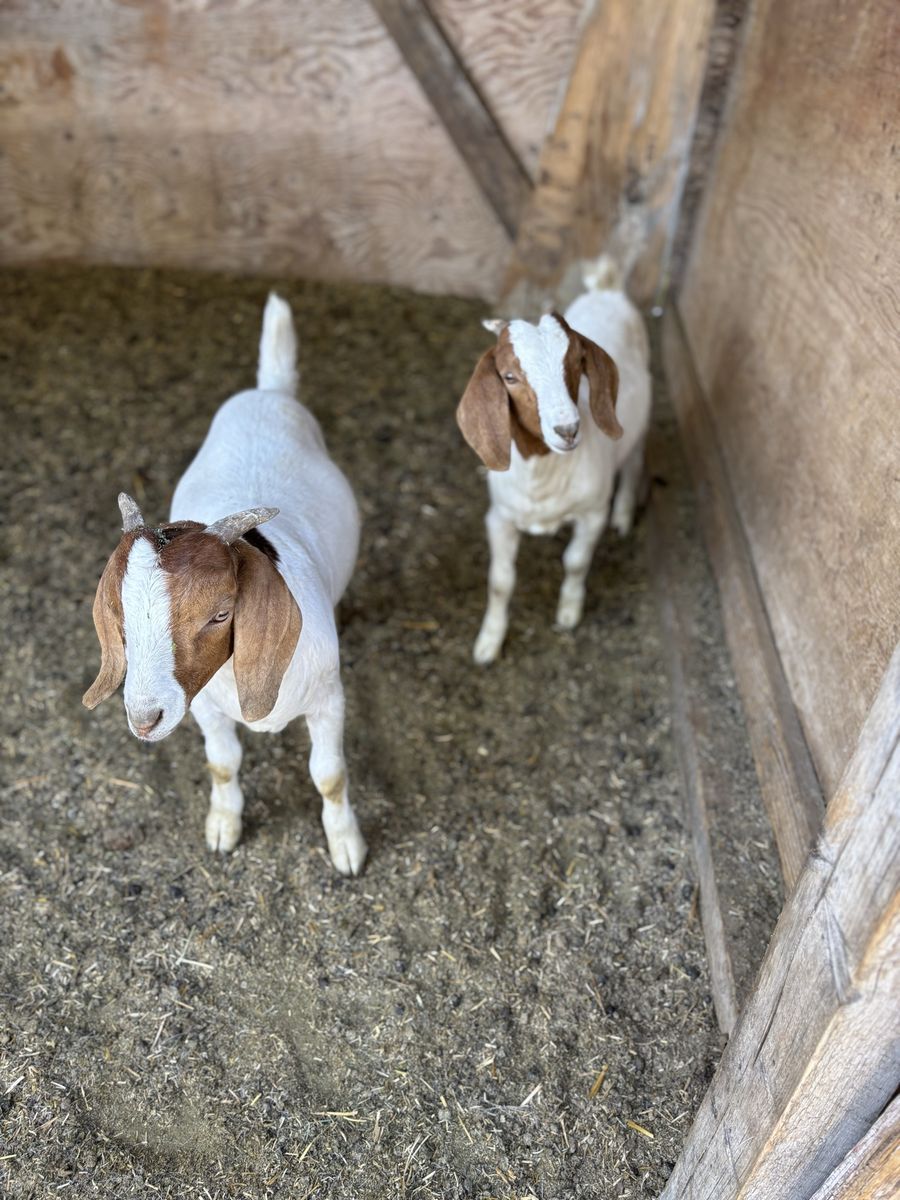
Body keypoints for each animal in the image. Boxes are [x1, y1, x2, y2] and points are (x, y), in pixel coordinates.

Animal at [83, 294, 367, 875]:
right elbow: (223, 762)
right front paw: (223, 826)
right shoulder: (205, 709)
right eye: (120, 617)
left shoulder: (330, 699)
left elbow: (329, 775)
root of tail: (268, 391)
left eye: (219, 614)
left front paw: (346, 845)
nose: (144, 719)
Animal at [456, 257, 651, 663]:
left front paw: (569, 612)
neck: (543, 476)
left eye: (578, 362)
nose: (568, 429)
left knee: (634, 460)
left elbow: (576, 561)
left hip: (640, 419)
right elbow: (500, 582)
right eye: (510, 376)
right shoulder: (499, 518)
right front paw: (488, 642)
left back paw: (625, 513)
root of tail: (607, 288)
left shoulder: (592, 513)